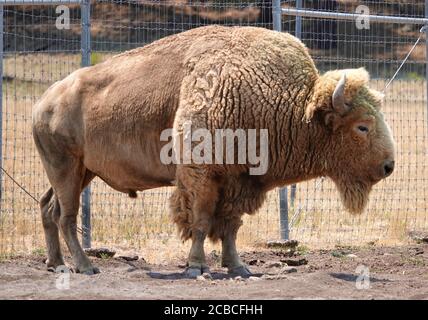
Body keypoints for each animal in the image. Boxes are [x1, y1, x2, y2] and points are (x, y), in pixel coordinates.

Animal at [32, 26, 394, 276]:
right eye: (362, 126)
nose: (389, 166)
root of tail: (44, 102)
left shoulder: (238, 182)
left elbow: (230, 226)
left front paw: (238, 267)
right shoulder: (202, 176)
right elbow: (202, 220)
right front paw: (196, 266)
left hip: (80, 171)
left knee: (49, 207)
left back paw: (56, 264)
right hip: (67, 169)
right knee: (66, 216)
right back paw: (85, 267)